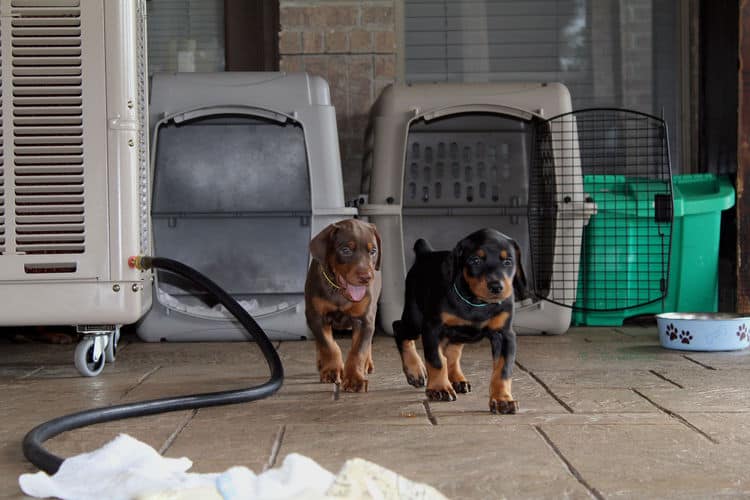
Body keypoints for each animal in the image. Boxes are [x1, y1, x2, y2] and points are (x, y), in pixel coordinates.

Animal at [306, 219, 382, 390]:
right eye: (346, 250)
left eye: (373, 251)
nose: (366, 277)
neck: (340, 291)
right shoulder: (316, 317)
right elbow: (329, 345)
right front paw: (332, 370)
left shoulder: (364, 319)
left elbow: (358, 350)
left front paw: (354, 378)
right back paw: (321, 362)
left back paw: (368, 363)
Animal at [394, 229, 528, 412]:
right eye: (475, 260)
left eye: (508, 261)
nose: (496, 287)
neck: (476, 302)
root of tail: (425, 253)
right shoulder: (432, 328)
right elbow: (436, 360)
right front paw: (439, 388)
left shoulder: (504, 335)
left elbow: (503, 369)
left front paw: (503, 400)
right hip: (414, 319)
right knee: (399, 329)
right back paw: (415, 371)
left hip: (455, 334)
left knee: (452, 352)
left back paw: (457, 379)